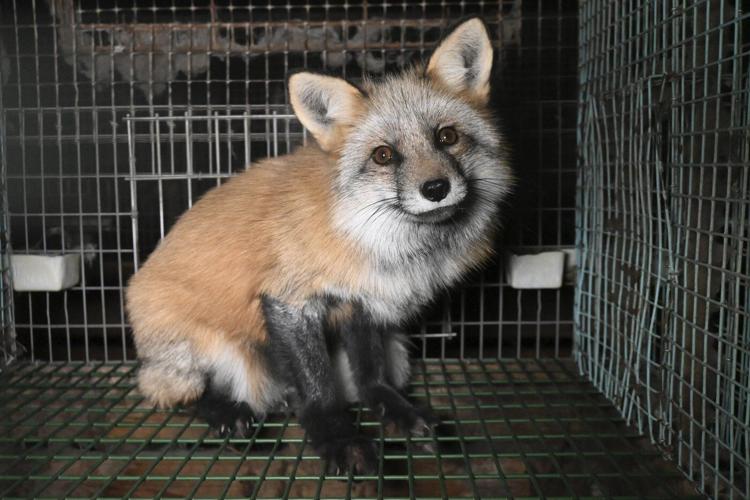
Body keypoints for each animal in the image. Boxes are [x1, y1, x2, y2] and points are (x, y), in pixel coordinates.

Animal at [126, 17, 512, 474]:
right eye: (383, 155)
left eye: (447, 136)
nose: (435, 188)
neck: (376, 242)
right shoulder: (289, 301)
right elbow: (317, 386)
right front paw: (336, 436)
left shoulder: (365, 302)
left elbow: (371, 376)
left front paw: (394, 410)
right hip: (223, 354)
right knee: (177, 393)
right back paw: (224, 411)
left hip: (398, 348)